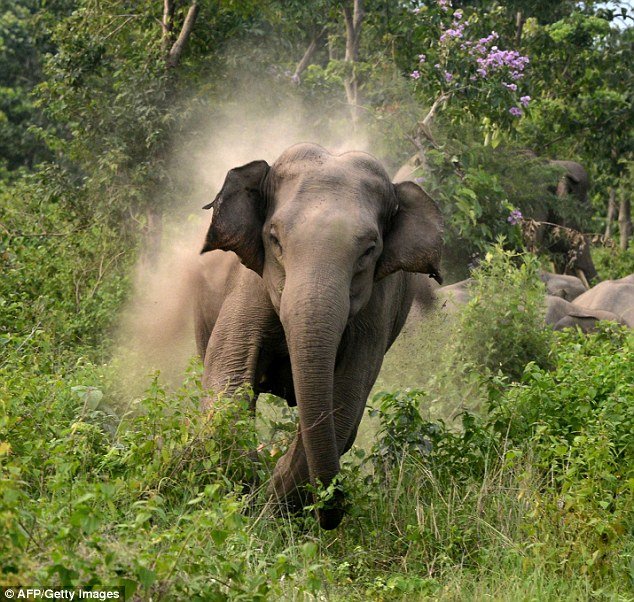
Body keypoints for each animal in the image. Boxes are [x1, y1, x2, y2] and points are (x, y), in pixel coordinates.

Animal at [195, 143, 442, 528]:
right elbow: (229, 379)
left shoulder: (375, 312)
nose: (333, 513)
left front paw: (272, 511)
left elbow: (343, 404)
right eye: (275, 239)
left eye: (369, 250)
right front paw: (246, 492)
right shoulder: (249, 284)